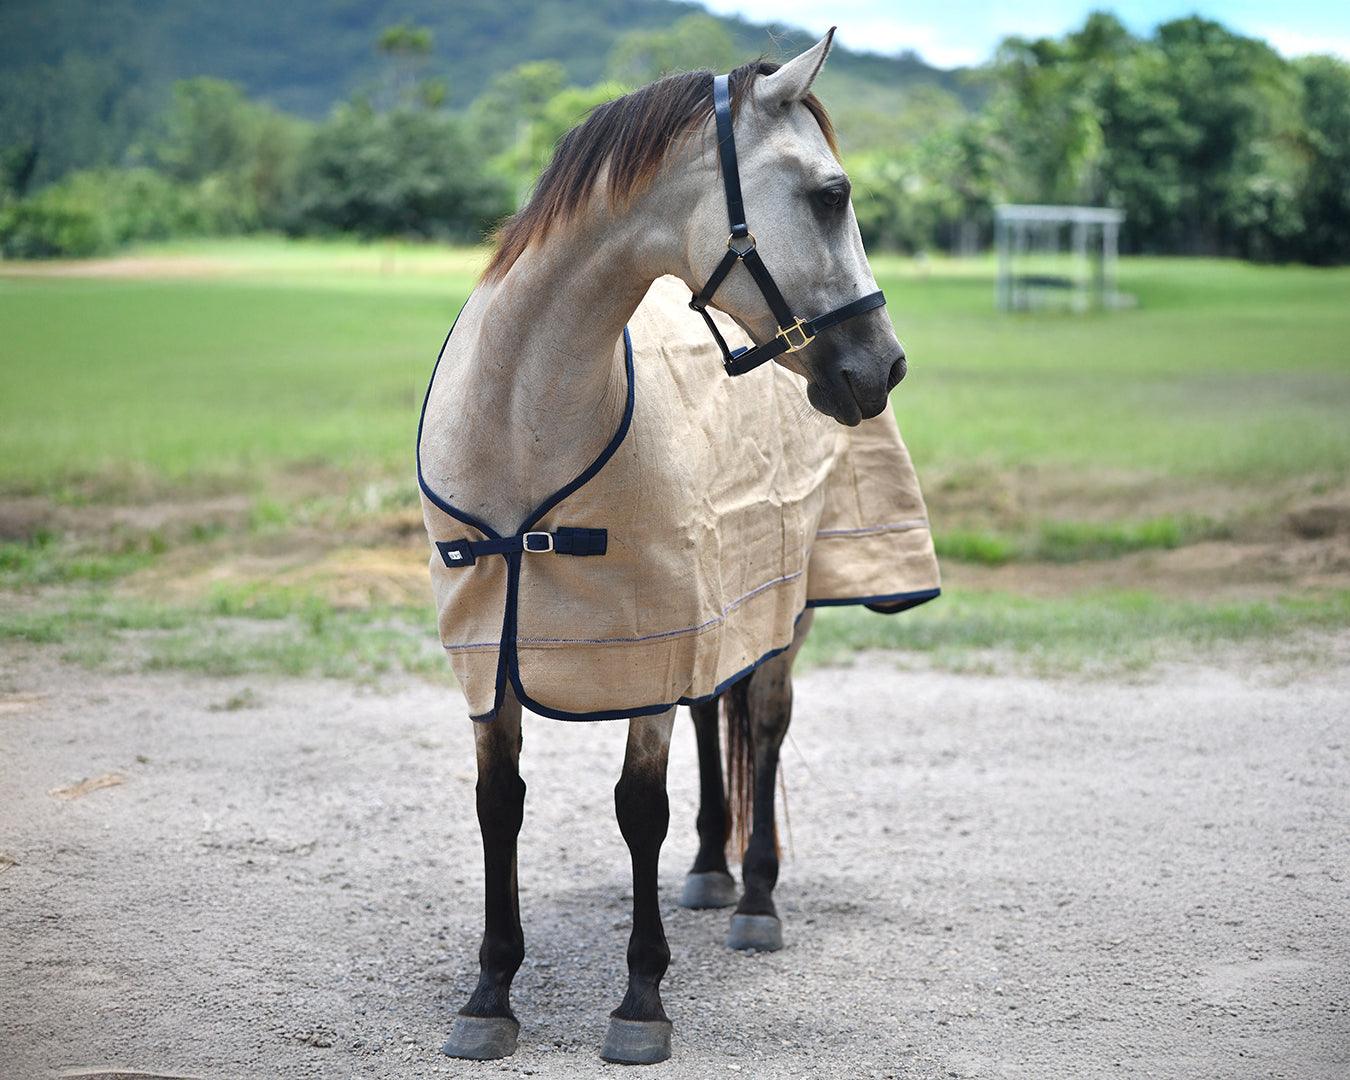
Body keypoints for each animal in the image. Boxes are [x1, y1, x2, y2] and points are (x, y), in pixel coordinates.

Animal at [416, 30, 939, 1065]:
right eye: (832, 194)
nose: (885, 366)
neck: (520, 421)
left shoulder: (647, 641)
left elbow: (637, 809)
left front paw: (640, 1002)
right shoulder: (491, 651)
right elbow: (501, 804)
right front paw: (490, 993)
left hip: (786, 600)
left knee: (766, 721)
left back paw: (756, 900)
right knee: (716, 716)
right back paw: (709, 869)